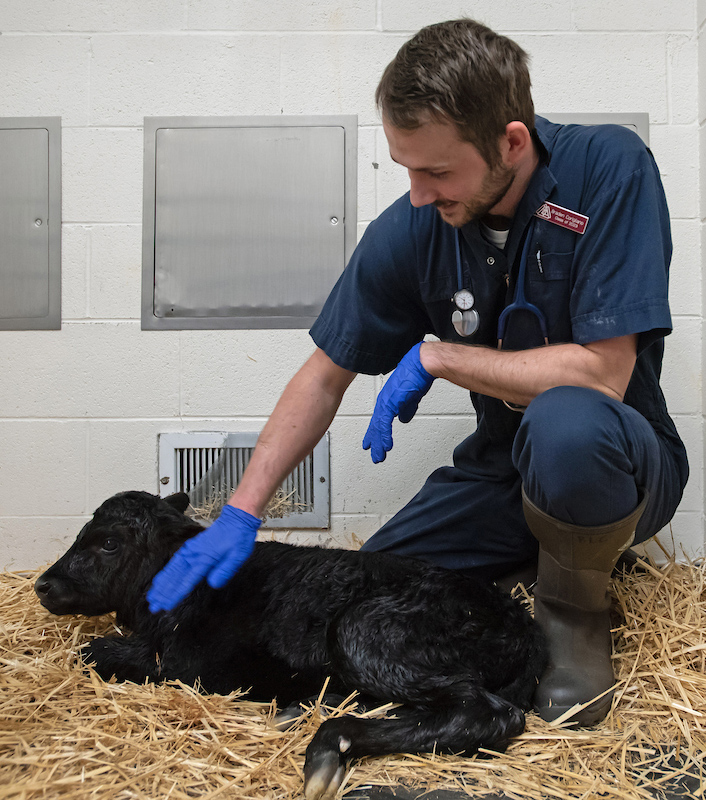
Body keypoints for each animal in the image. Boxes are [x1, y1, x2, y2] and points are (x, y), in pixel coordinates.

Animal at [35, 490, 547, 800]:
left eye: (108, 543)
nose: (43, 584)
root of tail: (521, 621)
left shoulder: (178, 661)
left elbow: (95, 652)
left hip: (363, 632)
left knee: (485, 712)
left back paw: (327, 745)